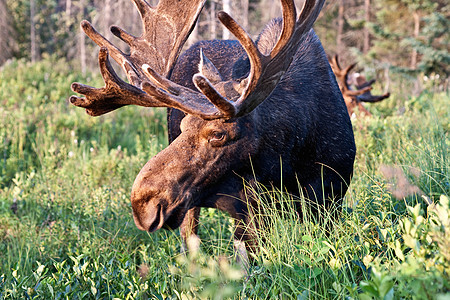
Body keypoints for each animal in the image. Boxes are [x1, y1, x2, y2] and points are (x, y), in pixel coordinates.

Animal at [70, 0, 356, 258]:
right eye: (183, 125)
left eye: (218, 134)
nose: (142, 202)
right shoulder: (251, 210)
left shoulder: (332, 198)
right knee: (190, 242)